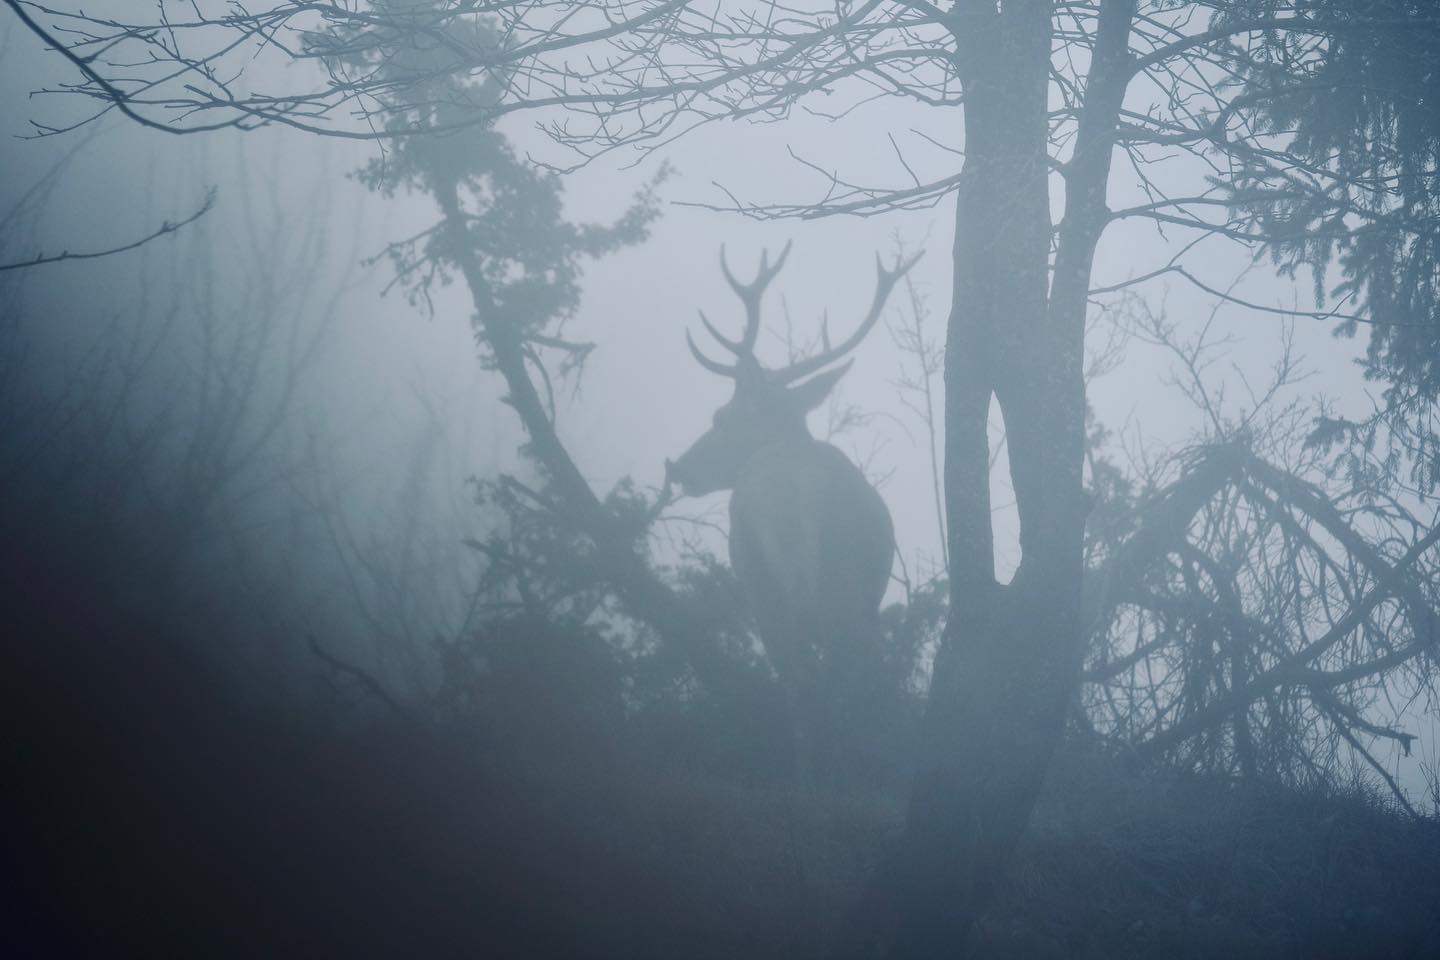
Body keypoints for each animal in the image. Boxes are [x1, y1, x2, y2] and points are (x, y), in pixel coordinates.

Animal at [664, 242, 920, 784]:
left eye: (721, 416)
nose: (681, 467)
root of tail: (799, 493)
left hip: (775, 588)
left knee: (808, 687)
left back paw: (815, 777)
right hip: (850, 593)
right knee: (846, 682)